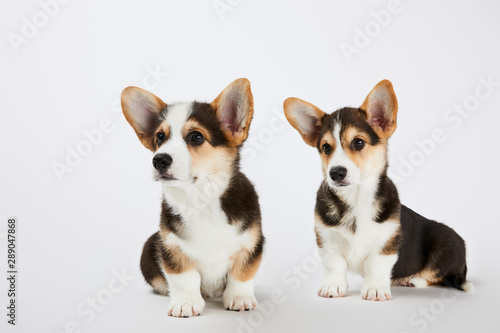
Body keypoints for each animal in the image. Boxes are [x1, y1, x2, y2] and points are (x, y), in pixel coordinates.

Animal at [120, 78, 266, 316]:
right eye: (160, 137)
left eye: (196, 136)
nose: (158, 160)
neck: (201, 198)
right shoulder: (171, 246)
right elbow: (183, 278)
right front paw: (185, 304)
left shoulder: (251, 242)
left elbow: (242, 274)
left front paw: (240, 299)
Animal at [284, 80, 474, 300]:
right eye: (326, 147)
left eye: (358, 142)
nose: (335, 173)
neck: (356, 197)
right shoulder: (327, 239)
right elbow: (334, 265)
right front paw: (333, 287)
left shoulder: (386, 242)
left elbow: (376, 266)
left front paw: (375, 289)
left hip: (446, 242)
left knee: (436, 276)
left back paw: (412, 279)